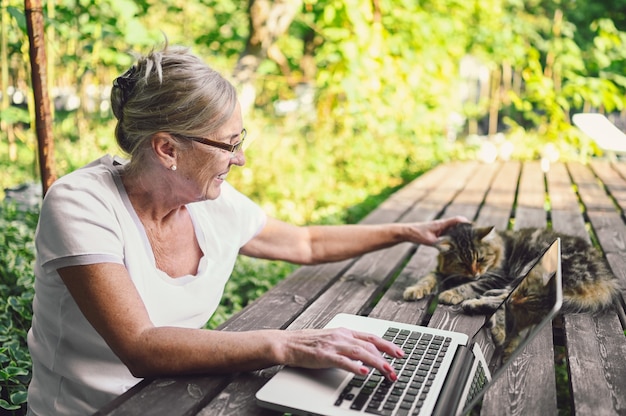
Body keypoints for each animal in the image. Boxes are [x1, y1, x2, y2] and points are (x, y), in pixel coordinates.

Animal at [402, 221, 616, 316]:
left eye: (480, 259)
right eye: (462, 263)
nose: (475, 273)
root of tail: (605, 280)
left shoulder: (497, 275)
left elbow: (469, 287)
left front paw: (451, 293)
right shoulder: (442, 271)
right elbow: (428, 278)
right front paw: (414, 290)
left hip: (532, 267)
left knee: (508, 298)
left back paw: (474, 304)